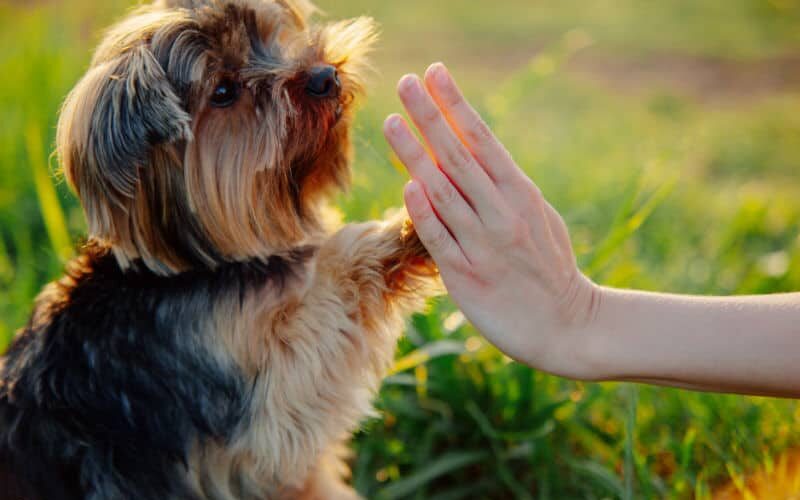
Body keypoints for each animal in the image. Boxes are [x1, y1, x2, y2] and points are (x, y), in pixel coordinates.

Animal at [0, 1, 438, 498]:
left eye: (269, 37)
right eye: (224, 91)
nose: (324, 76)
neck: (200, 264)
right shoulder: (261, 406)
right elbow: (323, 305)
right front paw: (411, 226)